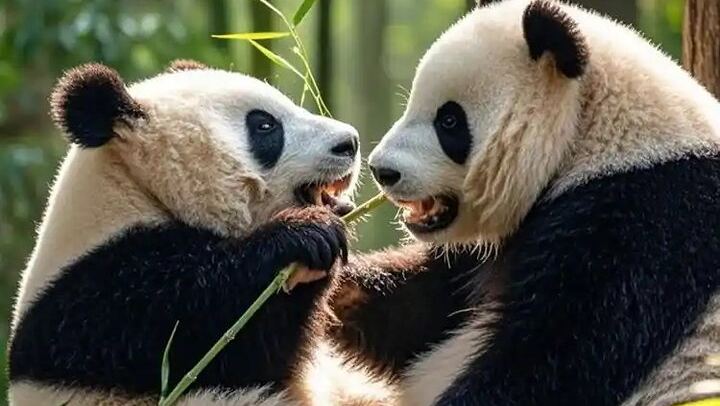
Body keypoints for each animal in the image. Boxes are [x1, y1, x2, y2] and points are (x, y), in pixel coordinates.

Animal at [8, 60, 363, 405]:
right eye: (264, 126)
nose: (349, 142)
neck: (134, 189)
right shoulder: (103, 307)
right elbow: (217, 328)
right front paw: (306, 236)